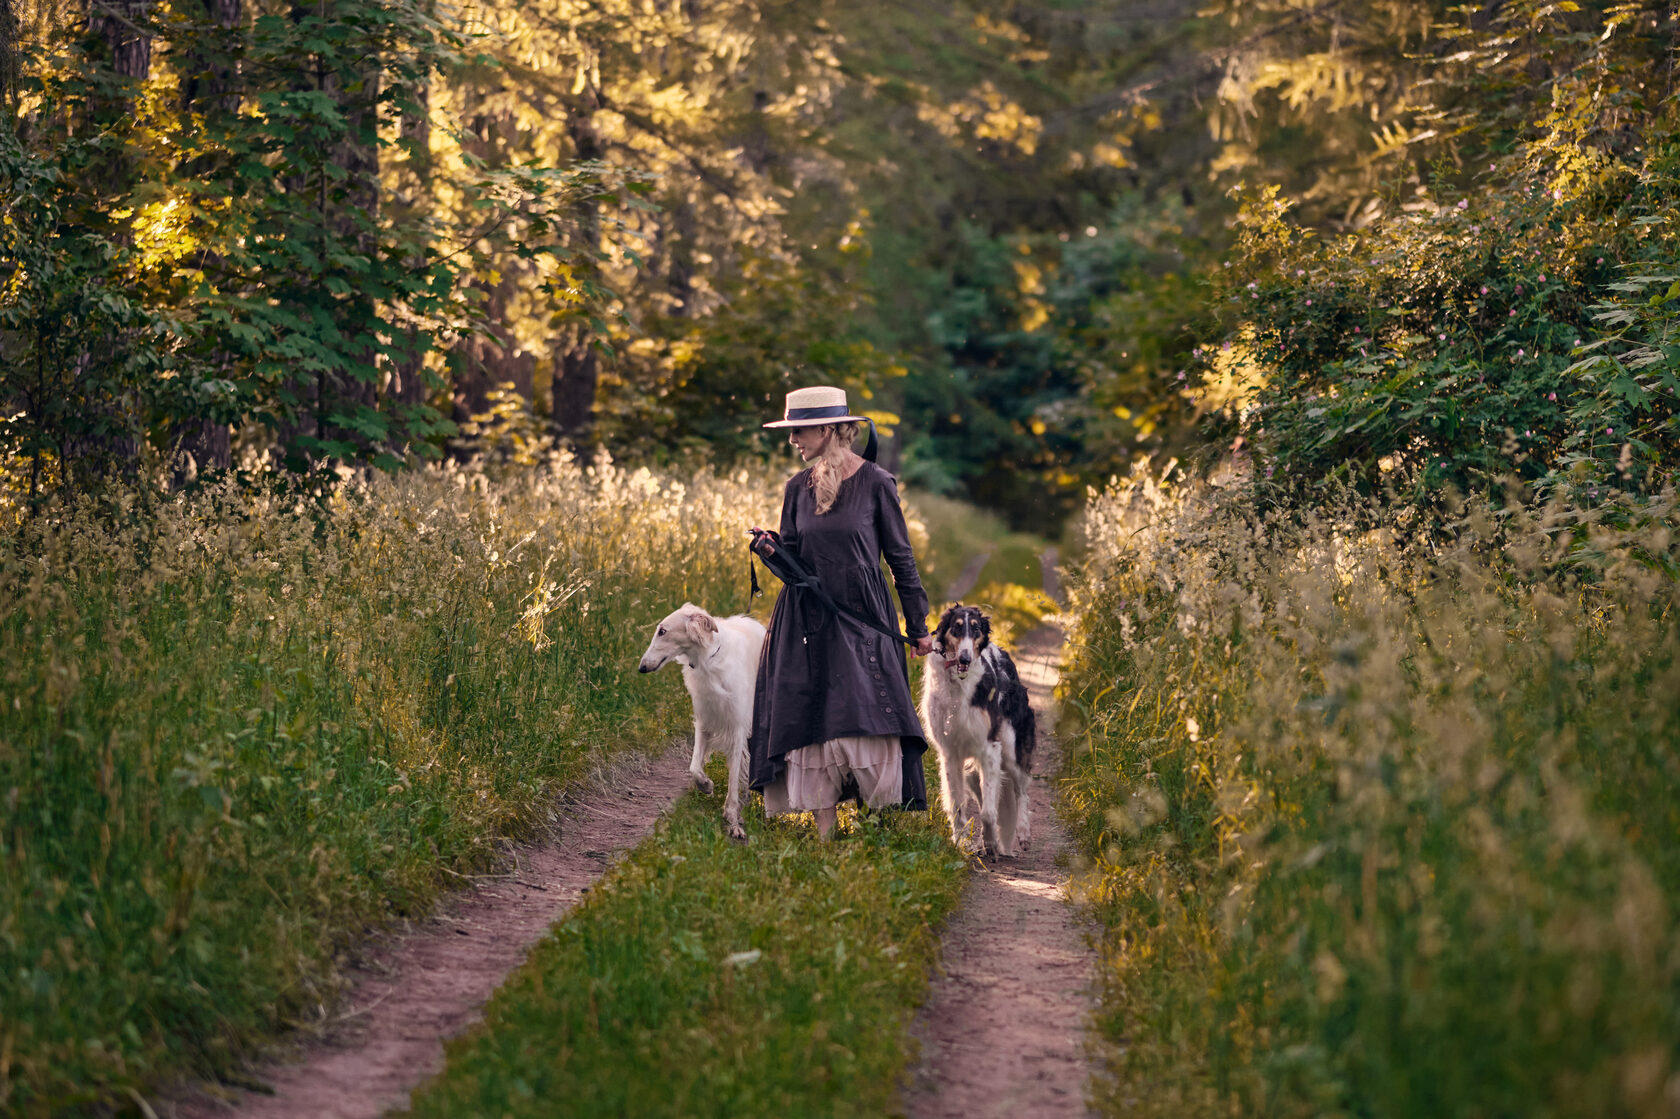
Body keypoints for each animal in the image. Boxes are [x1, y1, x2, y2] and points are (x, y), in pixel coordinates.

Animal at [631, 601, 766, 836]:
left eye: (662, 631)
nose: (642, 667)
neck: (709, 660)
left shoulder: (738, 727)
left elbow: (733, 779)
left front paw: (733, 820)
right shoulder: (705, 721)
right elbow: (694, 767)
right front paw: (706, 785)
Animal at [920, 601, 1034, 853]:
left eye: (976, 629)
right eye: (956, 627)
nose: (964, 658)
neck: (959, 684)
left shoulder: (989, 748)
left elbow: (989, 812)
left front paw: (991, 842)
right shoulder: (951, 753)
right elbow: (957, 805)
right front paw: (961, 841)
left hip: (1011, 749)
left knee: (1020, 791)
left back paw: (1022, 833)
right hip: (972, 769)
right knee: (985, 795)